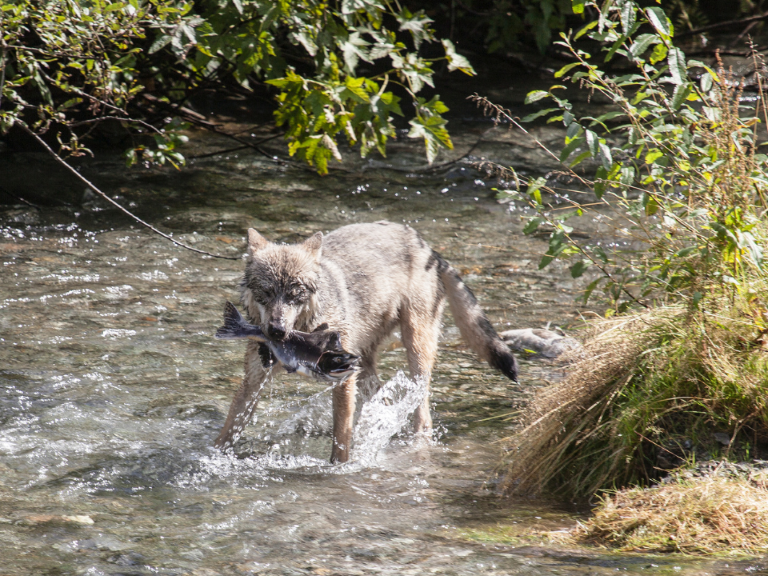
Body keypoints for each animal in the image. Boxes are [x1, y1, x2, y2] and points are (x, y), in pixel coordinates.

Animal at [213, 220, 520, 464]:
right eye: (266, 293)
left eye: (295, 294)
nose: (276, 331)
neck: (304, 329)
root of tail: (423, 244)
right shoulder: (254, 382)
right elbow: (227, 431)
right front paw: (212, 458)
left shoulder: (342, 379)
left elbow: (340, 438)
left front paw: (339, 468)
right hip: (366, 366)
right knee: (381, 402)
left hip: (414, 349)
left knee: (421, 411)